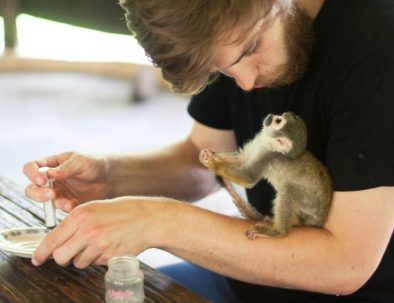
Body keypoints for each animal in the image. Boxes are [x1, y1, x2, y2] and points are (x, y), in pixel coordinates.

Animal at [200, 111, 332, 240]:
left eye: (278, 121)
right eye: (280, 115)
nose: (271, 116)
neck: (270, 144)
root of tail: (321, 218)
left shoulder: (268, 156)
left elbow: (248, 176)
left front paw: (214, 165)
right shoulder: (260, 143)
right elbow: (241, 159)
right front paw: (211, 155)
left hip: (311, 203)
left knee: (288, 191)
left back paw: (279, 232)